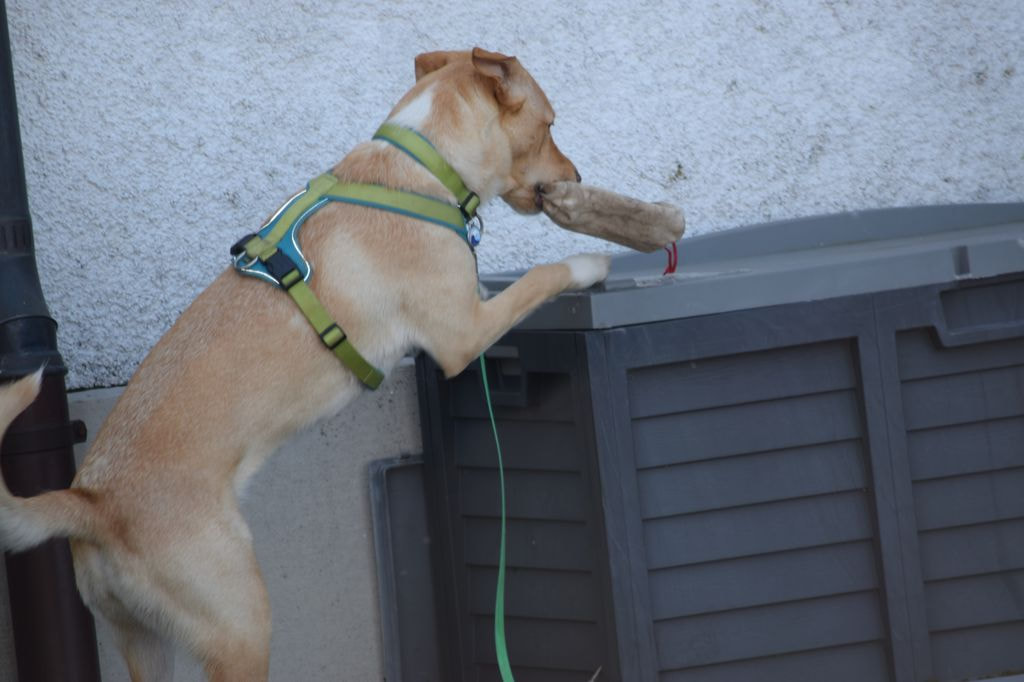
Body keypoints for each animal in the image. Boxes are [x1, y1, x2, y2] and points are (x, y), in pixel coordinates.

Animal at [0, 45, 606, 675]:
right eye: (550, 125)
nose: (578, 180)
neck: (422, 167)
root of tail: (89, 503)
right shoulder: (464, 335)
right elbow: (541, 277)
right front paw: (590, 263)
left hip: (142, 642)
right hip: (240, 630)